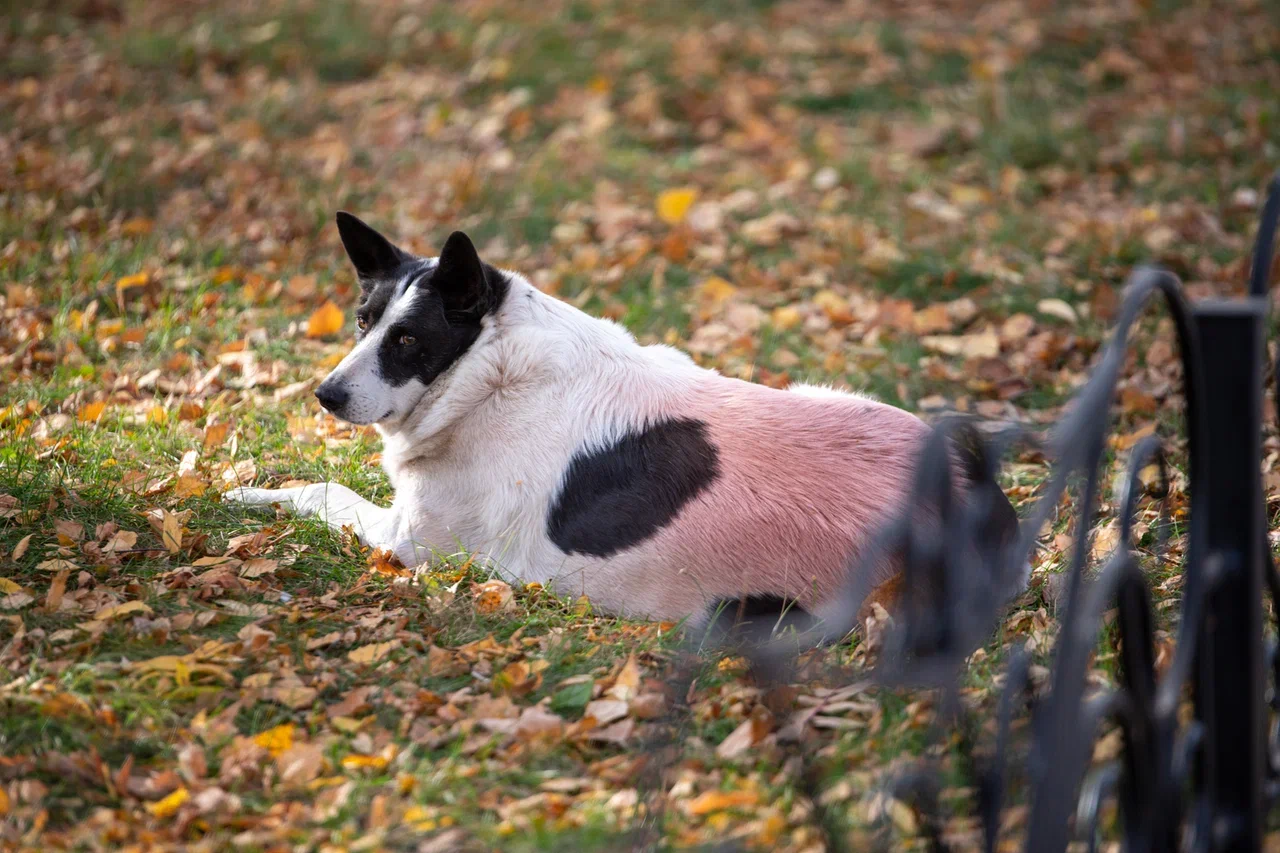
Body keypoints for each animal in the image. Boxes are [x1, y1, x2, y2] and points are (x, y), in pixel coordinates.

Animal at [222, 208, 1018, 627]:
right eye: (363, 320)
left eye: (409, 341)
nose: (325, 395)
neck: (489, 371)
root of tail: (978, 505)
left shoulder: (410, 542)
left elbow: (323, 491)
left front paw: (242, 491)